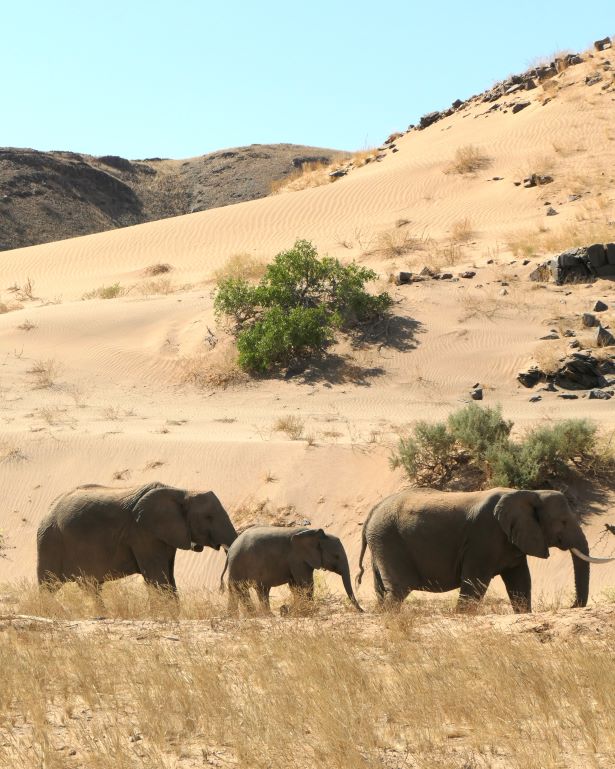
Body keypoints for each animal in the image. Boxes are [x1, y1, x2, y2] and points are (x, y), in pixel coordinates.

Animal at [37, 482, 237, 594]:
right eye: (208, 517)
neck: (181, 492)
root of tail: (48, 510)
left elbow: (169, 577)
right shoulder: (143, 533)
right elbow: (158, 579)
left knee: (91, 586)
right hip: (50, 540)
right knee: (48, 587)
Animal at [220, 525, 363, 614]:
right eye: (336, 556)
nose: (363, 611)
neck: (315, 534)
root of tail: (230, 549)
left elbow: (295, 586)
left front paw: (295, 610)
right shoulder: (298, 558)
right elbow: (306, 584)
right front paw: (310, 610)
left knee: (241, 590)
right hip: (240, 564)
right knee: (246, 589)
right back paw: (259, 615)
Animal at [356, 487, 614, 612]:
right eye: (562, 522)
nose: (571, 606)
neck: (530, 492)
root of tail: (372, 511)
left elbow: (520, 582)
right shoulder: (484, 537)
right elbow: (475, 583)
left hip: (380, 542)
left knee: (382, 590)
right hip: (389, 540)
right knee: (399, 590)